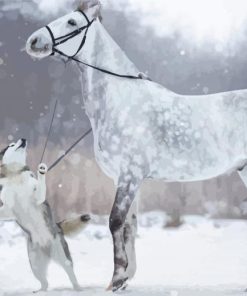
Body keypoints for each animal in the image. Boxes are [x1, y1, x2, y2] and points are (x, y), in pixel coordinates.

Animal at [0, 139, 89, 292]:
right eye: (11, 145)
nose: (23, 139)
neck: (15, 176)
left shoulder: (37, 197)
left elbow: (40, 187)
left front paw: (41, 171)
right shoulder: (7, 209)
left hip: (62, 255)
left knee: (70, 273)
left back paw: (78, 288)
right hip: (35, 265)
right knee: (45, 282)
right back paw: (40, 290)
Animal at [25, 0, 247, 292]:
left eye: (72, 22)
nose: (33, 41)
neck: (120, 101)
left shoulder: (130, 176)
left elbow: (115, 221)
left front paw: (117, 278)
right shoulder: (125, 179)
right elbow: (130, 225)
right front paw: (125, 278)